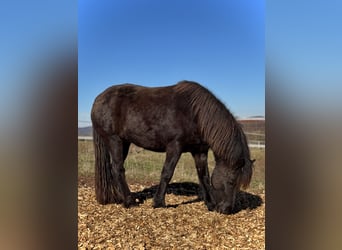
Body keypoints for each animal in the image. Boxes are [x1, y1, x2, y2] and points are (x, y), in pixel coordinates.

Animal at [91, 81, 254, 214]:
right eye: (232, 181)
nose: (226, 210)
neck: (195, 114)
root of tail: (98, 99)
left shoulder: (199, 151)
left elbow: (204, 176)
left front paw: (210, 204)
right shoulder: (175, 147)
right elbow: (167, 173)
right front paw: (159, 203)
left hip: (124, 142)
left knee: (113, 169)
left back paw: (120, 198)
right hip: (115, 140)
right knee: (118, 169)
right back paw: (129, 201)